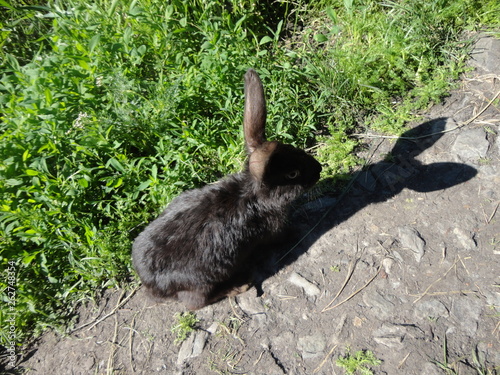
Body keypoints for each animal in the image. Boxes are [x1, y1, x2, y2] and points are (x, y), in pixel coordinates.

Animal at [132, 69, 320, 310]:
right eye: (293, 174)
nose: (319, 169)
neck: (253, 196)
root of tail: (150, 285)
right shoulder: (274, 228)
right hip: (203, 282)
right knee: (196, 303)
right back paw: (239, 287)